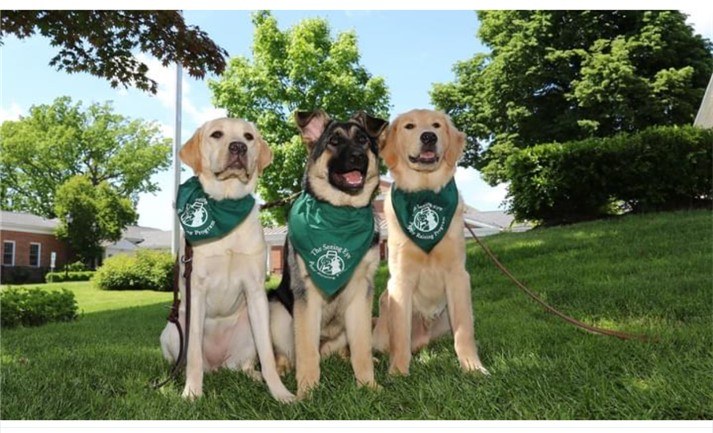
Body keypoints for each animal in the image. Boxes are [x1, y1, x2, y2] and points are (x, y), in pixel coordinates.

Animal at [160, 117, 294, 402]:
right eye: (216, 134)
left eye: (248, 136)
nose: (238, 147)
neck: (226, 206)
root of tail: (217, 365)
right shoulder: (197, 289)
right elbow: (194, 356)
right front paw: (192, 393)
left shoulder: (255, 290)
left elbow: (268, 355)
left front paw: (280, 392)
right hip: (174, 331)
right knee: (186, 360)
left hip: (247, 331)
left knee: (243, 365)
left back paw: (255, 376)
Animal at [268, 109, 390, 396]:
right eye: (334, 141)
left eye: (363, 140)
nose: (357, 157)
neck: (340, 214)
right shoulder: (307, 296)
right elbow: (306, 351)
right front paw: (307, 392)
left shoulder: (361, 293)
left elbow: (361, 347)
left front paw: (368, 385)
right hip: (274, 307)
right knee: (283, 352)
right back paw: (281, 369)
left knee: (350, 347)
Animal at [370, 109, 486, 376]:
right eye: (409, 126)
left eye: (436, 125)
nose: (428, 137)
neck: (424, 192)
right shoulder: (400, 278)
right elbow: (400, 336)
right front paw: (398, 371)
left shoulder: (457, 275)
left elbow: (464, 331)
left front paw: (472, 366)